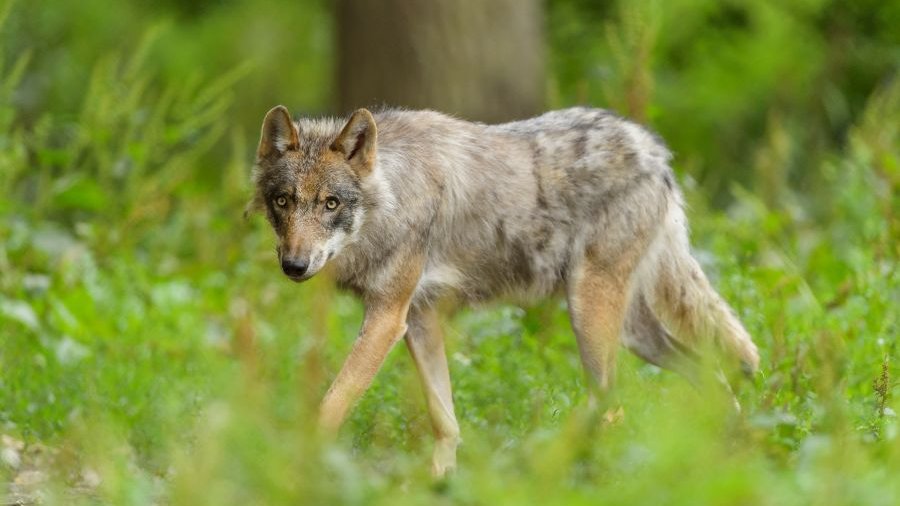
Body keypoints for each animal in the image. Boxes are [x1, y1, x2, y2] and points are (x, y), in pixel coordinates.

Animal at [247, 105, 759, 476]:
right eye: (283, 202)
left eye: (331, 204)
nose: (294, 265)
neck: (392, 198)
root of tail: (652, 150)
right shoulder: (419, 319)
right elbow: (445, 420)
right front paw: (440, 482)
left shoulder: (388, 319)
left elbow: (331, 406)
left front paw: (296, 467)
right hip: (634, 333)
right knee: (712, 374)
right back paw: (728, 457)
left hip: (589, 317)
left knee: (614, 404)